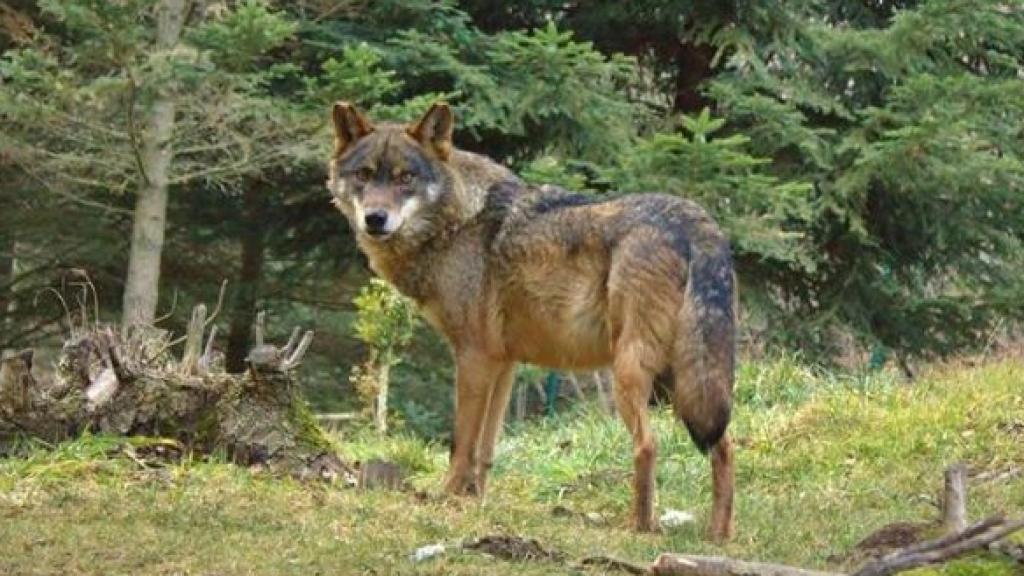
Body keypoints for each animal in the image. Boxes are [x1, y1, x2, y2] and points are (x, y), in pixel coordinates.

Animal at [327, 101, 736, 540]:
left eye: (406, 178)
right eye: (364, 175)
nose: (375, 218)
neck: (457, 221)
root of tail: (696, 221)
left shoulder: (472, 358)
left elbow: (461, 444)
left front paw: (447, 496)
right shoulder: (504, 363)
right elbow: (486, 448)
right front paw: (476, 500)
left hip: (629, 374)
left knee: (649, 444)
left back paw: (640, 527)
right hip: (686, 381)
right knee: (725, 446)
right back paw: (718, 534)